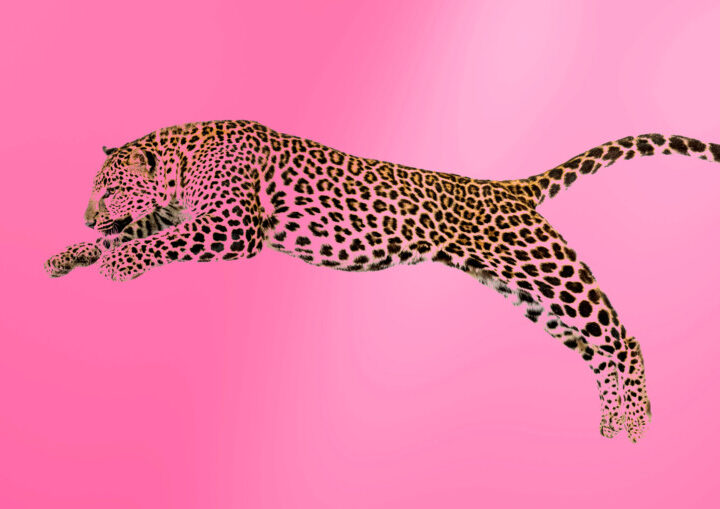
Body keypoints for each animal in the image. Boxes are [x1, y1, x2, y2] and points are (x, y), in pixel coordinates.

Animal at [45, 120, 720, 442]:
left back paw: (638, 427)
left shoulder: (233, 226)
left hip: (546, 267)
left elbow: (155, 242)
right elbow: (134, 233)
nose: (85, 214)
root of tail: (507, 188)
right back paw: (612, 429)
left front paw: (115, 263)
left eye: (108, 187)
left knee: (622, 338)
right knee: (598, 349)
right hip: (528, 291)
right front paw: (70, 254)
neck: (184, 163)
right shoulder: (182, 214)